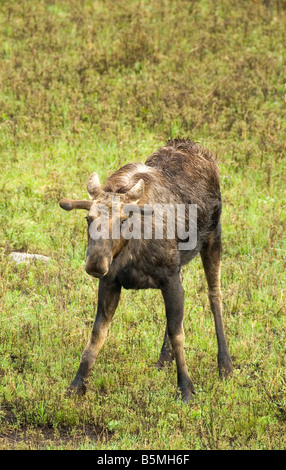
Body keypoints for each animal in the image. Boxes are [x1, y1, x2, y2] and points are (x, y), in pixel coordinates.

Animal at [59, 138, 231, 402]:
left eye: (122, 219)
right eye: (88, 218)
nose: (96, 264)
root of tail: (193, 145)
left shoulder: (169, 279)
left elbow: (178, 334)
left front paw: (186, 388)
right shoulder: (111, 282)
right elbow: (97, 335)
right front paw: (77, 384)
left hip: (213, 237)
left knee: (215, 295)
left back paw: (225, 365)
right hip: (180, 265)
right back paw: (163, 360)